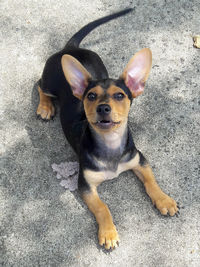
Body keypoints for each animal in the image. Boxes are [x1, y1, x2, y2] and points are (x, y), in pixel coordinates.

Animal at [36, 8, 179, 251]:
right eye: (91, 96)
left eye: (119, 95)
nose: (103, 108)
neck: (110, 142)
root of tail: (70, 49)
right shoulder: (85, 185)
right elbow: (103, 208)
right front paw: (109, 233)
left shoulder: (139, 160)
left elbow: (152, 182)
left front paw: (164, 200)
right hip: (49, 83)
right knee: (38, 84)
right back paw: (44, 107)